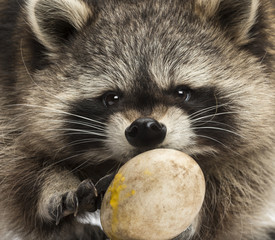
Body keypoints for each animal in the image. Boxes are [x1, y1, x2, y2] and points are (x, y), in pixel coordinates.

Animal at [0, 0, 275, 239]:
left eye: (181, 92)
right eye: (111, 98)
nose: (145, 128)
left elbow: (244, 172)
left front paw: (196, 215)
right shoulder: (11, 82)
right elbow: (14, 161)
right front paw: (53, 183)